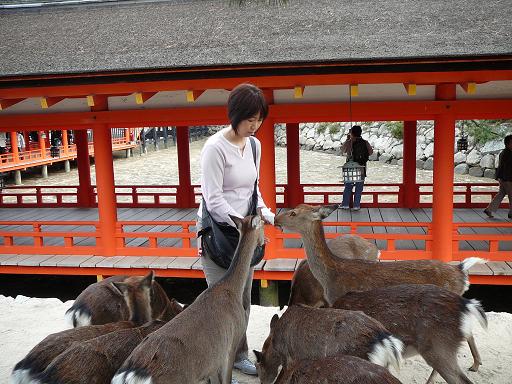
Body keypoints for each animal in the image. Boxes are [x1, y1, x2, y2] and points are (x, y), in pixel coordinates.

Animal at [111, 213, 264, 384]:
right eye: (264, 223)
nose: (264, 243)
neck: (231, 289)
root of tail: (130, 374)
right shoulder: (230, 346)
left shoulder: (212, 363)